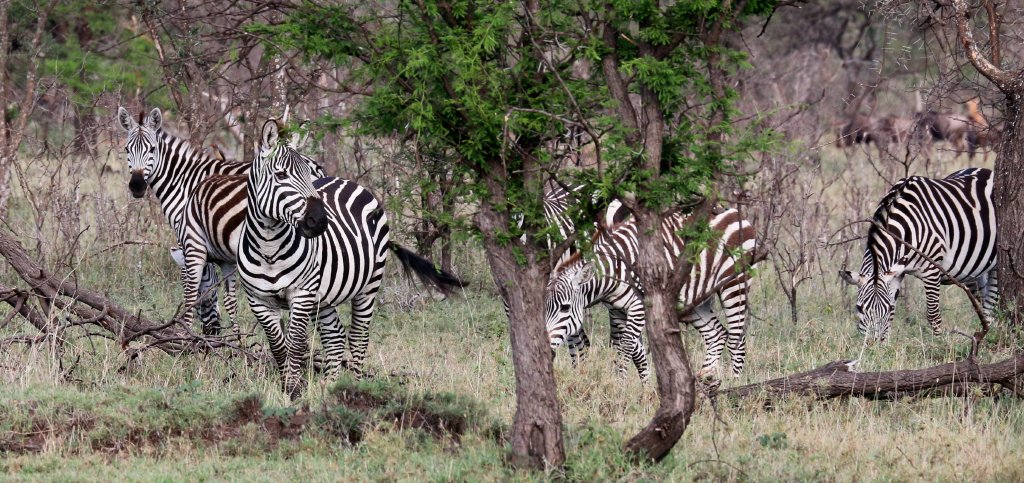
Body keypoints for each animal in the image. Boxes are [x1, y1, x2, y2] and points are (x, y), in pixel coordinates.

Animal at [238, 120, 465, 399]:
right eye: (280, 175)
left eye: (308, 175)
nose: (319, 221)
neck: (269, 247)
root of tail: (346, 180)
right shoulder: (258, 300)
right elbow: (279, 347)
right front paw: (288, 388)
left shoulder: (302, 294)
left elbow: (296, 345)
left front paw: (294, 390)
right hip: (323, 296)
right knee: (335, 337)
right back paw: (330, 385)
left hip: (369, 284)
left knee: (357, 337)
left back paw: (353, 387)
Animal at [545, 207, 757, 380]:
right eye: (543, 310)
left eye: (565, 308)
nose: (549, 353)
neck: (615, 270)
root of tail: (737, 214)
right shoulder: (616, 310)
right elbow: (634, 351)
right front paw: (643, 387)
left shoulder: (639, 305)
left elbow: (626, 347)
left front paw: (621, 384)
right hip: (697, 300)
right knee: (716, 335)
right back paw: (705, 379)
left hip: (735, 285)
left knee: (737, 341)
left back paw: (732, 383)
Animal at [839, 168, 997, 342]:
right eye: (859, 308)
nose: (872, 344)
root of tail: (986, 170)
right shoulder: (897, 272)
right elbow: (892, 315)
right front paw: (885, 346)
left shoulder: (931, 268)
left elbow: (933, 314)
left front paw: (938, 344)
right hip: (973, 271)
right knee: (981, 299)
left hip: (995, 263)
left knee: (992, 301)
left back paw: (990, 333)